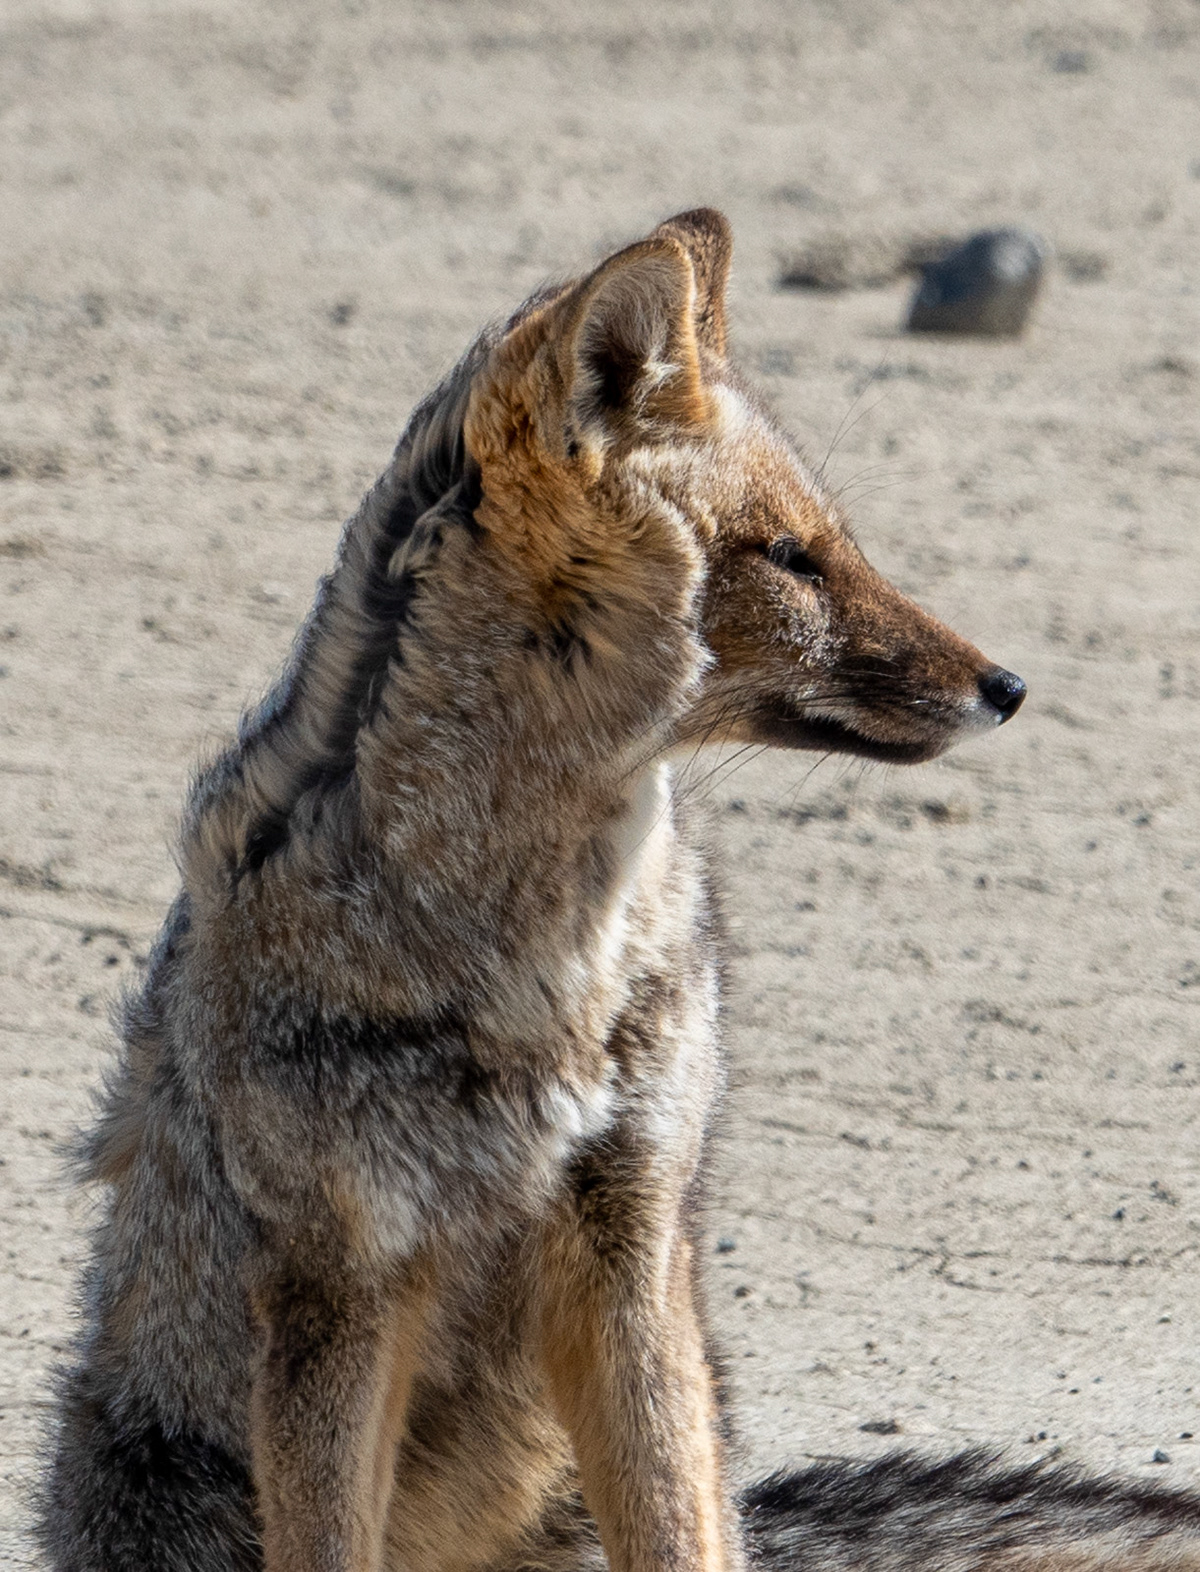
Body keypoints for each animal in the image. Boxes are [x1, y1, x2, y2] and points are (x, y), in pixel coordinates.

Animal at [36, 208, 1200, 1572]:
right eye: (792, 561)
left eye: (839, 544)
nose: (1008, 686)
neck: (542, 967)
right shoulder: (344, 1274)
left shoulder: (630, 1238)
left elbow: (678, 1525)